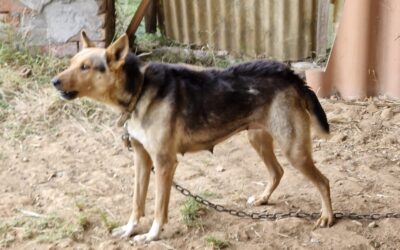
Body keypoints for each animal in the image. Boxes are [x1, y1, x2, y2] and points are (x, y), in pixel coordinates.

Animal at [53, 31, 334, 242]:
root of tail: (291, 74)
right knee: (277, 172)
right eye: (72, 63)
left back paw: (327, 217)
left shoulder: (164, 163)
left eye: (85, 67)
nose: (54, 81)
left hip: (293, 150)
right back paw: (263, 199)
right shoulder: (141, 159)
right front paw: (130, 229)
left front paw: (152, 236)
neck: (140, 90)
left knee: (323, 181)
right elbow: (137, 202)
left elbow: (158, 208)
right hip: (258, 139)